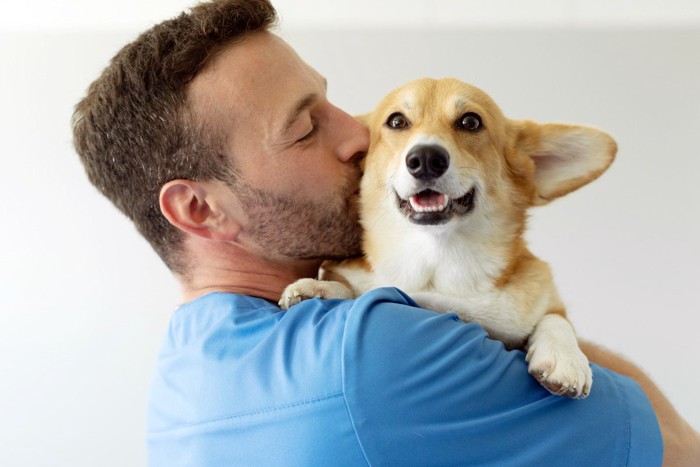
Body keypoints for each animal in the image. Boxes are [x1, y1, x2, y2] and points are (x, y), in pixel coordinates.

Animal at [282, 77, 616, 398]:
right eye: (397, 121)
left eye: (471, 122)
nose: (426, 158)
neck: (438, 265)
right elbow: (352, 288)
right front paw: (319, 288)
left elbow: (556, 319)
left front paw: (565, 359)